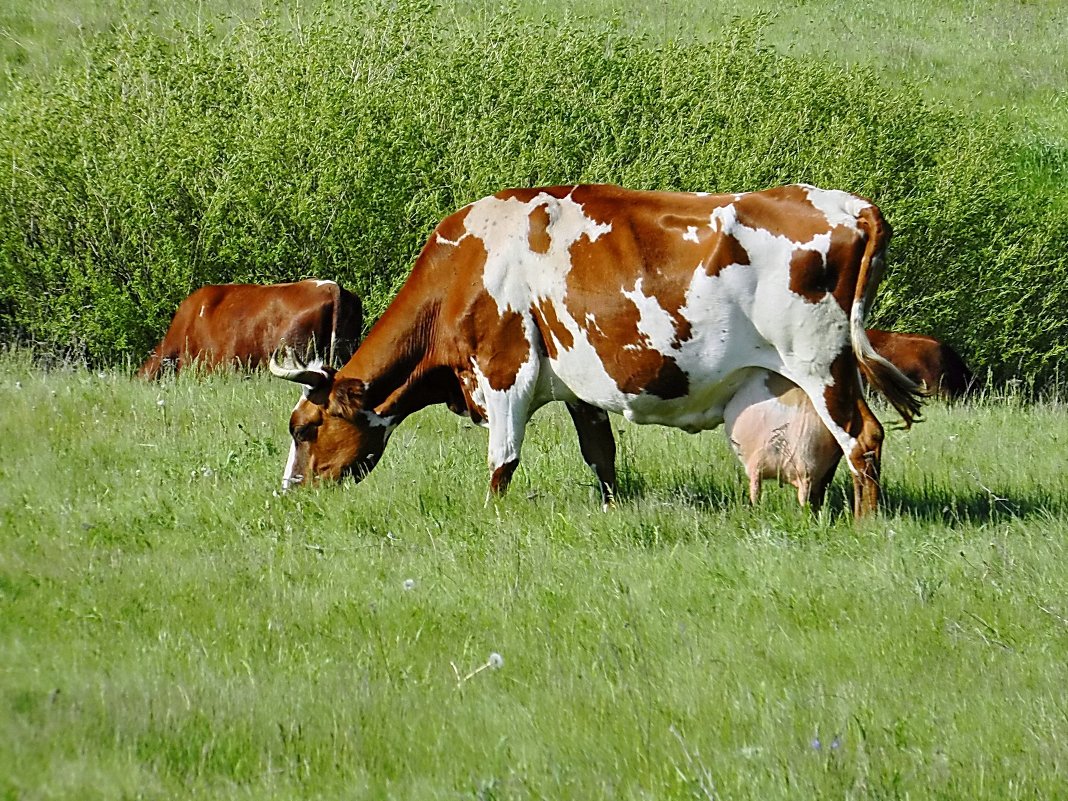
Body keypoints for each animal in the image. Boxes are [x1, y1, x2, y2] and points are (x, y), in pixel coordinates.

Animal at [271, 184, 922, 516]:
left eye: (305, 428)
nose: (291, 492)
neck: (468, 263)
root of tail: (849, 204)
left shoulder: (505, 370)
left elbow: (502, 460)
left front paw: (490, 518)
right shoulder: (579, 385)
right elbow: (600, 455)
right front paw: (611, 511)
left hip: (822, 364)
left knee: (862, 439)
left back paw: (865, 523)